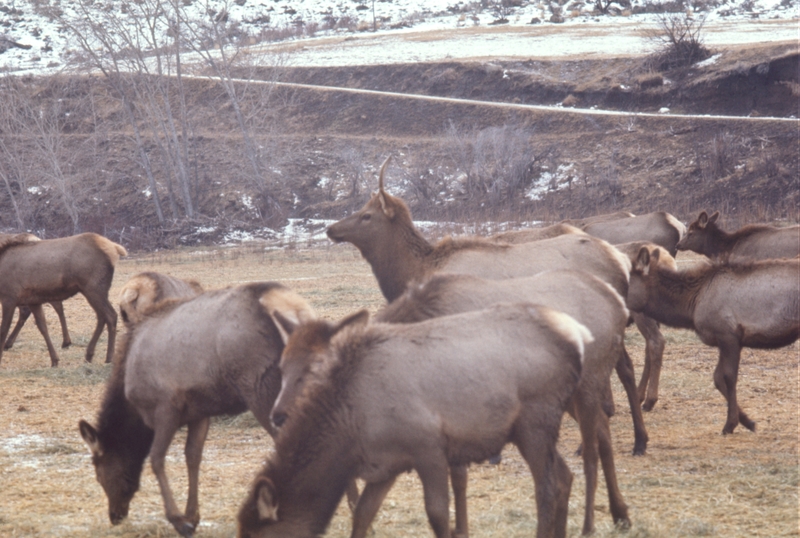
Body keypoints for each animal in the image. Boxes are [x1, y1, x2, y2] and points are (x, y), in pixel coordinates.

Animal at [0, 230, 126, 364]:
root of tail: (115, 248)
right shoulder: (33, 301)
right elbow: (42, 327)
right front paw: (54, 360)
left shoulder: (9, 297)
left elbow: (3, 329)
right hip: (94, 291)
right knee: (102, 316)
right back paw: (89, 354)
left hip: (94, 289)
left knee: (111, 315)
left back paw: (109, 357)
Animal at [78, 282, 316, 532]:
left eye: (99, 474)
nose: (115, 516)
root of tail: (291, 309)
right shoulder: (199, 411)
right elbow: (193, 456)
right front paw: (192, 516)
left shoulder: (165, 407)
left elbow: (156, 458)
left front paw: (178, 520)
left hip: (261, 387)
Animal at [238, 302, 588, 536]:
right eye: (281, 368)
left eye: (257, 536)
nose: (279, 416)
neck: (353, 429)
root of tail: (577, 333)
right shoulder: (384, 466)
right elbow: (363, 515)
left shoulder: (428, 447)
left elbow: (438, 515)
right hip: (531, 429)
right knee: (565, 476)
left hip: (535, 419)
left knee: (547, 488)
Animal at [272, 270, 636, 532]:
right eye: (283, 365)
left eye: (320, 367)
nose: (279, 415)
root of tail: (618, 301)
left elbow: (457, 479)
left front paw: (461, 529)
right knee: (602, 437)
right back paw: (620, 513)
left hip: (590, 382)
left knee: (593, 449)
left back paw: (590, 523)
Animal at [628, 245, 796, 434]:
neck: (691, 306)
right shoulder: (725, 341)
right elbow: (717, 378)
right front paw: (748, 421)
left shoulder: (728, 336)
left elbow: (729, 377)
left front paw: (730, 424)